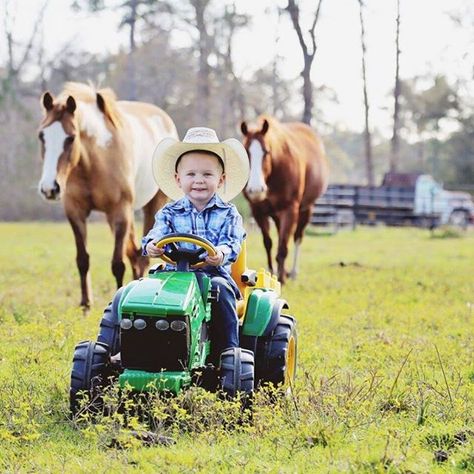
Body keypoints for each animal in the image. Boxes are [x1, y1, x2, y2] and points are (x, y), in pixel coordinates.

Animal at [38, 81, 179, 308]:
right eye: (42, 136)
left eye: (71, 138)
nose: (50, 188)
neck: (95, 160)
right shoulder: (75, 212)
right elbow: (83, 260)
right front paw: (85, 306)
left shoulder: (119, 212)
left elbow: (117, 264)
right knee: (134, 254)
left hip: (153, 204)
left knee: (141, 257)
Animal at [241, 115, 330, 284]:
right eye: (246, 152)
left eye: (266, 152)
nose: (256, 190)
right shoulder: (258, 211)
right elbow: (268, 243)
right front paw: (272, 271)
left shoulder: (290, 210)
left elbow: (283, 246)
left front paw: (281, 277)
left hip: (306, 209)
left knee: (297, 237)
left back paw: (293, 272)